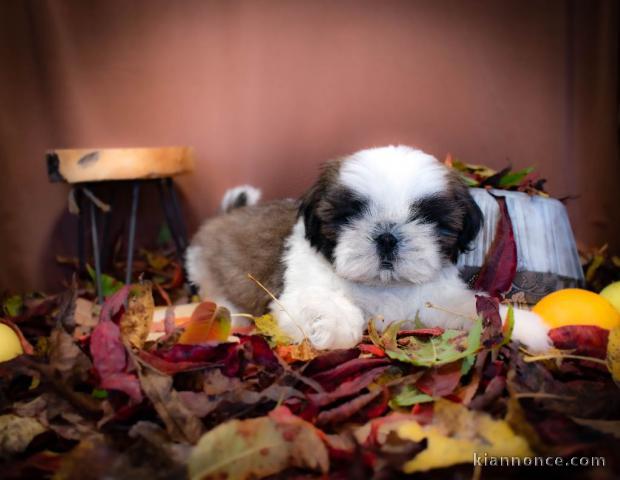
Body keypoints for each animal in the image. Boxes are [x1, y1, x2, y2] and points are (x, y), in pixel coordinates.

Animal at [186, 146, 548, 352]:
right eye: (352, 214)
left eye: (425, 217)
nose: (387, 236)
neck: (383, 286)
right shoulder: (297, 295)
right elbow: (327, 306)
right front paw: (333, 329)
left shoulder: (433, 302)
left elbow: (473, 308)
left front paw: (522, 327)